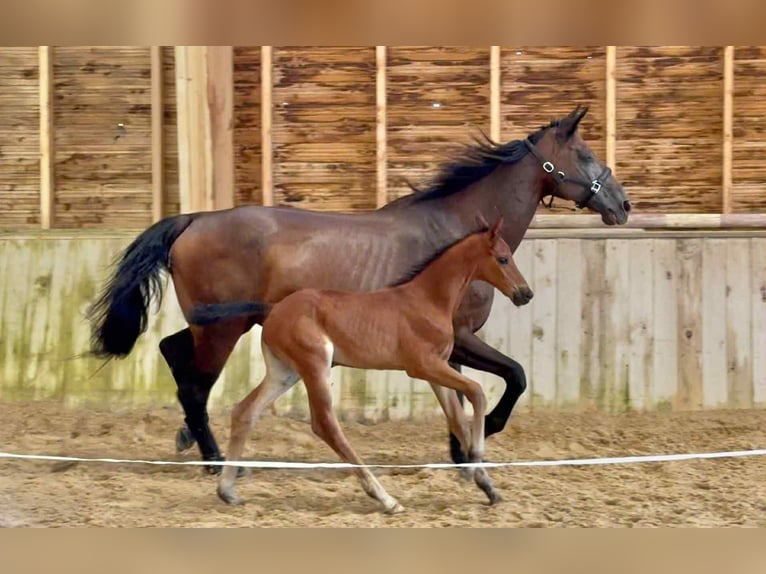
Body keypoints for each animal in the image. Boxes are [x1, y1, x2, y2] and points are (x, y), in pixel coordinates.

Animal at [87, 105, 631, 474]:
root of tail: (194, 220)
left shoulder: (447, 347)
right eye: (584, 154)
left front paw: (460, 454)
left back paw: (192, 443)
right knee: (196, 384)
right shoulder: (461, 337)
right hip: (224, 329)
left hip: (216, 323)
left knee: (172, 354)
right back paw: (216, 460)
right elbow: (514, 376)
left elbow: (457, 397)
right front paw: (483, 437)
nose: (622, 204)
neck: (455, 234)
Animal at [189, 217, 533, 512]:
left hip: (284, 373)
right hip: (315, 364)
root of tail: (273, 309)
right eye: (503, 258)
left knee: (245, 411)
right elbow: (477, 393)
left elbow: (457, 420)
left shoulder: (437, 370)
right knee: (325, 424)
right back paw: (385, 498)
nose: (525, 293)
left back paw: (227, 491)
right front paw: (477, 457)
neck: (427, 300)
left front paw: (486, 486)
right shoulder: (423, 366)